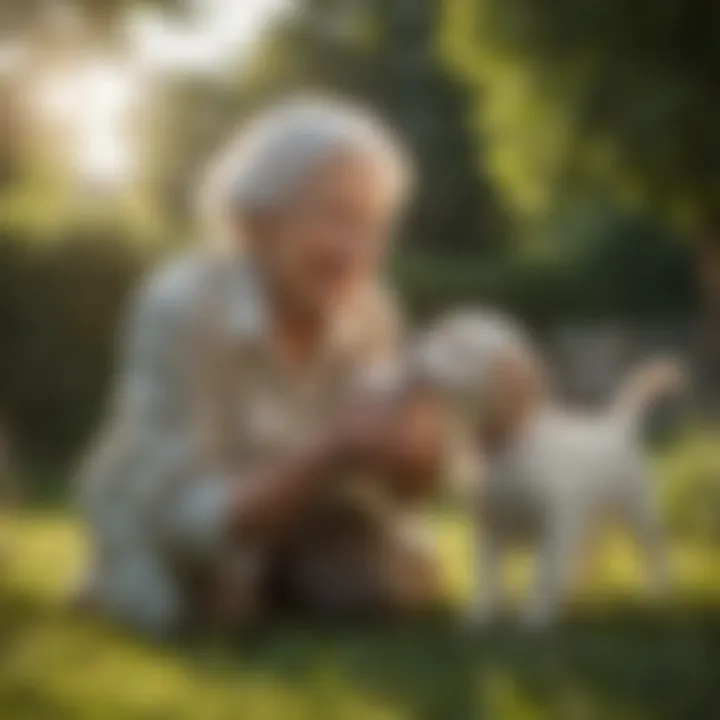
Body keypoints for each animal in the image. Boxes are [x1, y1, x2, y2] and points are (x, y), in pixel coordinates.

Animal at [416, 312, 680, 628]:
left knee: (653, 552)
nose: (412, 356)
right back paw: (581, 591)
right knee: (589, 551)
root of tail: (616, 425)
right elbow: (487, 577)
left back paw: (659, 597)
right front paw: (479, 618)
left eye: (460, 346)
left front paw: (535, 620)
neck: (505, 448)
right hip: (589, 518)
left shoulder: (553, 525)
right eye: (441, 333)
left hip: (638, 511)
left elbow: (543, 575)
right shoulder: (488, 526)